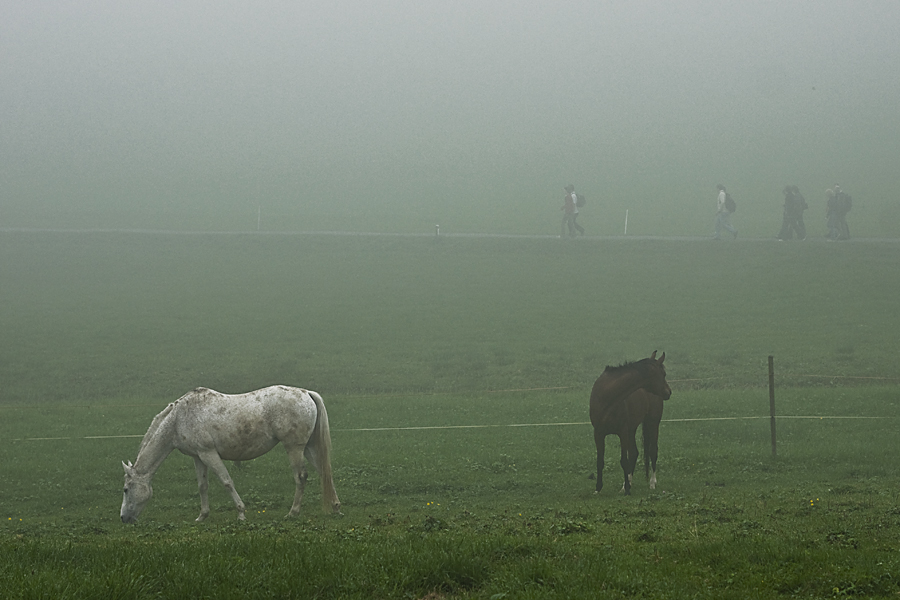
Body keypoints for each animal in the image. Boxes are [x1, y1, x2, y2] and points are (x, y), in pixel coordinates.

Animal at [121, 386, 340, 524]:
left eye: (125, 489)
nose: (124, 519)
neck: (178, 419)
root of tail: (306, 394)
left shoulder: (209, 453)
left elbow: (226, 481)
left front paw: (241, 513)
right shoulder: (198, 457)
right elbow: (202, 486)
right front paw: (202, 516)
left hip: (294, 448)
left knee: (301, 477)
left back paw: (293, 512)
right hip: (308, 448)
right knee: (324, 473)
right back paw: (336, 507)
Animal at [588, 350, 672, 494]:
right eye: (663, 374)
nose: (668, 392)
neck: (607, 396)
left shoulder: (622, 432)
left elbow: (624, 460)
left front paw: (627, 489)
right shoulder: (598, 433)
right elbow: (600, 461)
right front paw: (598, 488)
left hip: (652, 423)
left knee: (652, 451)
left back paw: (651, 483)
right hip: (631, 430)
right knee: (634, 453)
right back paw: (627, 483)